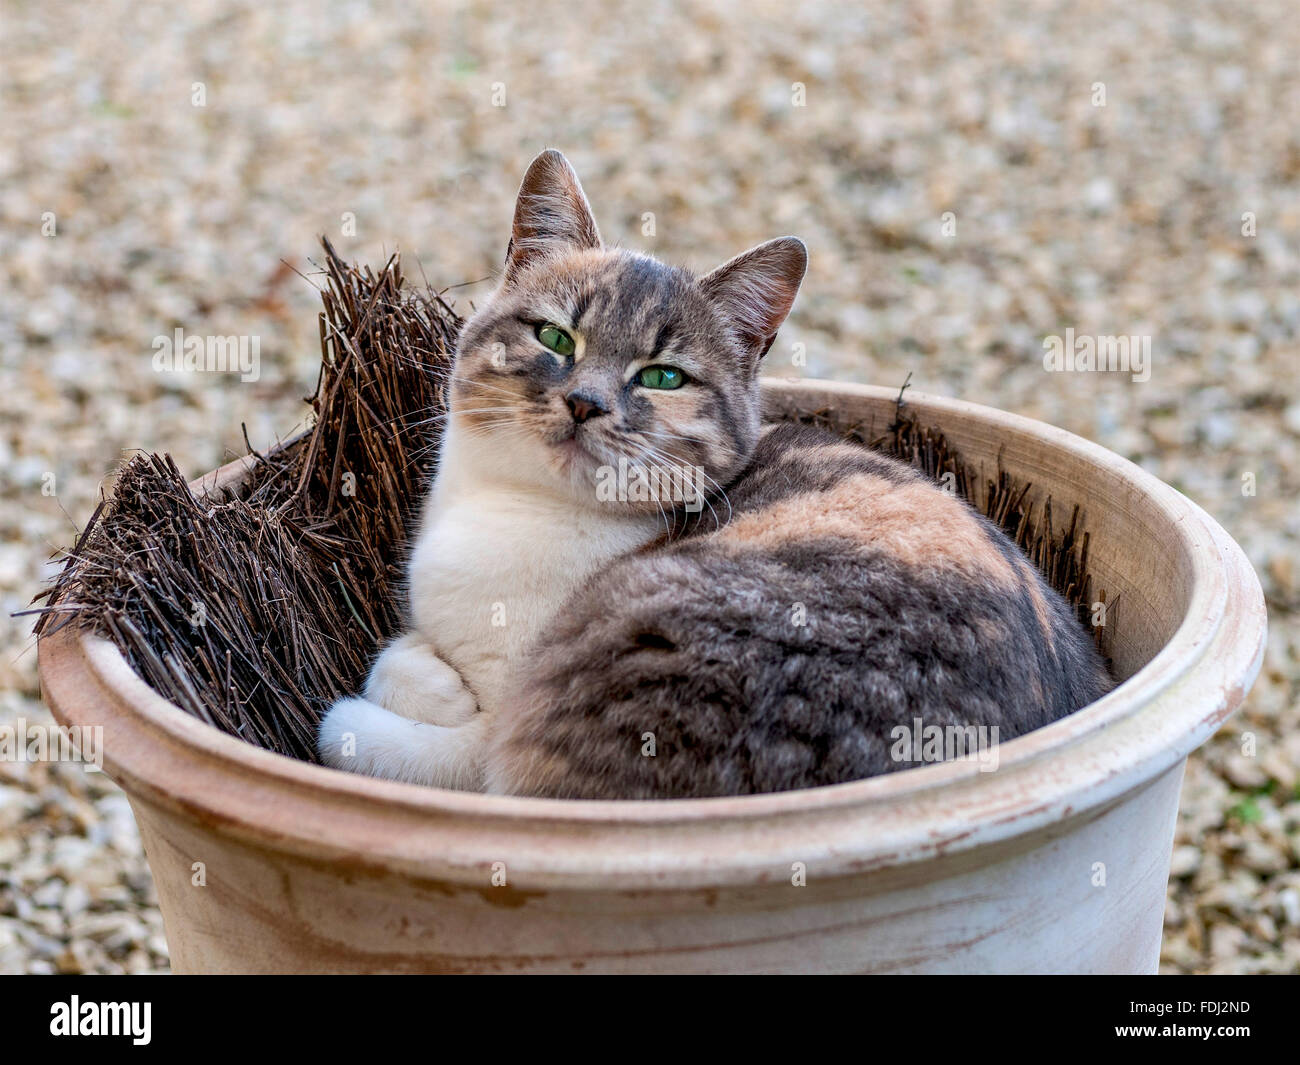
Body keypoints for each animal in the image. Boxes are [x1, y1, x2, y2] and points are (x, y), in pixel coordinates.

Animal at [312, 150, 1107, 801]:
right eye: (555, 337)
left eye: (664, 376)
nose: (585, 402)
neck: (522, 512)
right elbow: (399, 652)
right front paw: (427, 669)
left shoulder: (499, 738)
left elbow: (366, 727)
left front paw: (420, 696)